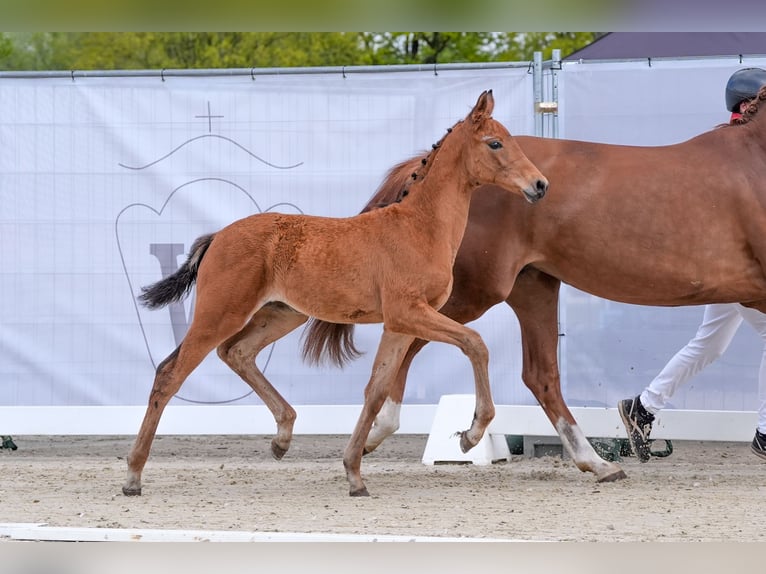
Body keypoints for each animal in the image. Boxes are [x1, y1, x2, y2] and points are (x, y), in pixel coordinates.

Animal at [123, 91, 548, 500]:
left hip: (282, 314)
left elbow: (376, 391)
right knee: (170, 373)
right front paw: (470, 435)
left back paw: (282, 437)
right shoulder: (408, 313)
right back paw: (133, 475)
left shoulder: (398, 325)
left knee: (237, 352)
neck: (420, 227)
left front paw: (355, 475)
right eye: (495, 143)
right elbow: (475, 344)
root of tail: (217, 237)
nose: (540, 185)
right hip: (221, 313)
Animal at [300, 83, 766, 484]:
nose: (539, 186)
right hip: (473, 292)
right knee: (418, 342)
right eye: (494, 143)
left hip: (533, 287)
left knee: (539, 375)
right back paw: (396, 431)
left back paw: (595, 462)